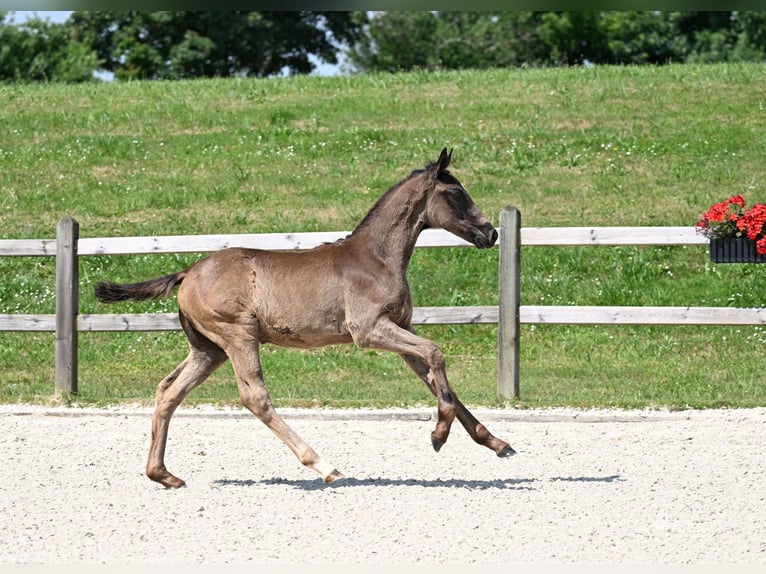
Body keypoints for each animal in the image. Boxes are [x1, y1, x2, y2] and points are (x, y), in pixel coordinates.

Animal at [94, 148, 515, 488]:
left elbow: (437, 377)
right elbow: (435, 352)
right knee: (254, 396)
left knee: (169, 390)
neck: (376, 258)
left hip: (207, 349)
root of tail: (187, 272)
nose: (490, 233)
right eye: (456, 193)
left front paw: (497, 443)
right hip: (237, 334)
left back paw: (163, 474)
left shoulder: (399, 328)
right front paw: (438, 435)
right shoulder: (369, 330)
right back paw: (324, 466)